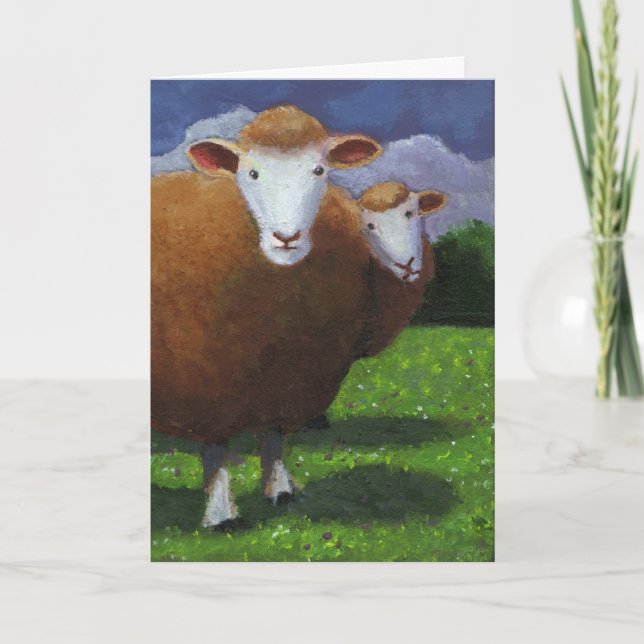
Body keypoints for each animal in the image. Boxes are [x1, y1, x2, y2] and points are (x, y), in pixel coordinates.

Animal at [152, 106, 382, 528]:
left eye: (319, 170)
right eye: (252, 173)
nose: (286, 238)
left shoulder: (288, 377)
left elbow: (274, 436)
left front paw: (280, 489)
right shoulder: (209, 378)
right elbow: (216, 448)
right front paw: (220, 512)